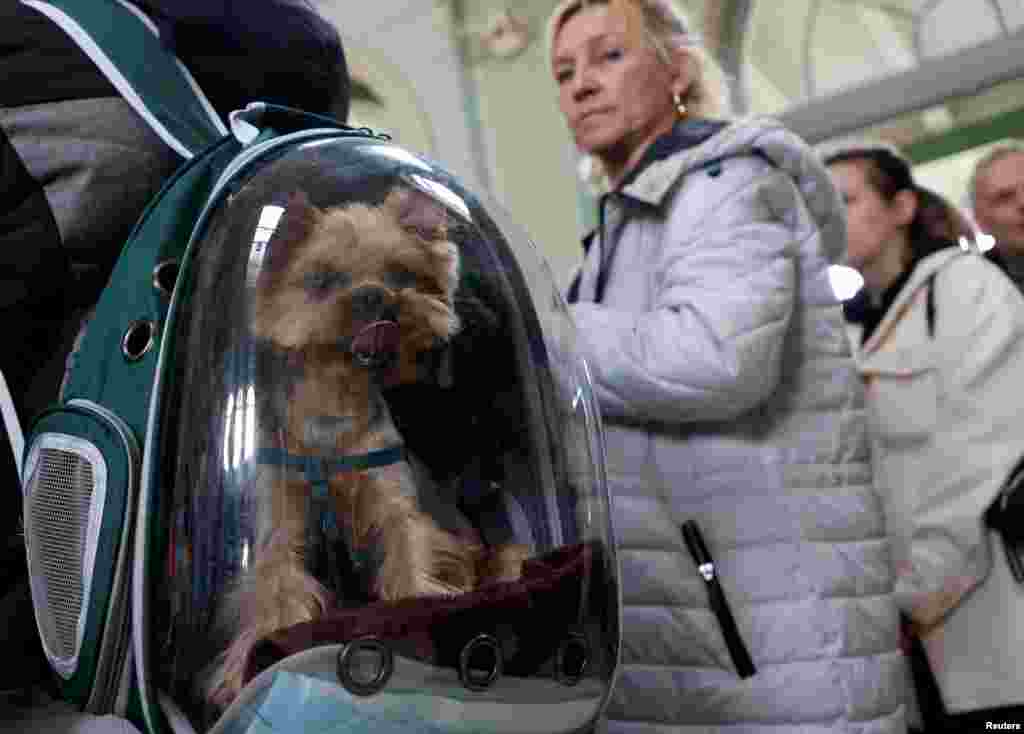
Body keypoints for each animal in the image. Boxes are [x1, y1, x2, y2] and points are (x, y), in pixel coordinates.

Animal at [207, 186, 528, 700]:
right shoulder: (283, 522)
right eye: (322, 279)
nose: (376, 296)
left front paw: (420, 612)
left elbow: (409, 553)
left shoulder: (395, 503)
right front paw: (245, 667)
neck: (333, 409)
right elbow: (276, 587)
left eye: (402, 274)